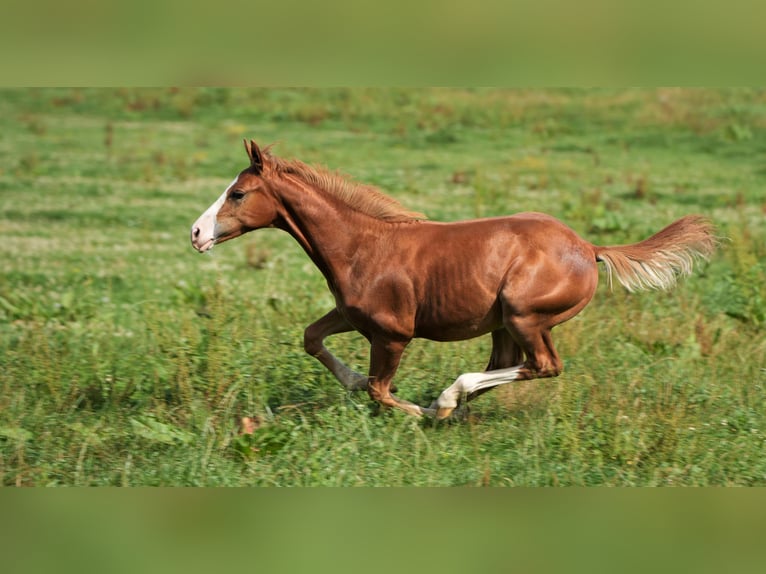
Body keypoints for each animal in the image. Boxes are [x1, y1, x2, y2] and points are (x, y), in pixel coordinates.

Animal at [192, 140, 720, 418]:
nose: (196, 233)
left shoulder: (392, 333)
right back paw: (457, 406)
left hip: (525, 315)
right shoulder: (352, 315)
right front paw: (357, 382)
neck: (361, 246)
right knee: (510, 364)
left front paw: (420, 415)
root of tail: (589, 248)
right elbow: (311, 338)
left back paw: (447, 401)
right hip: (505, 323)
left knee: (544, 365)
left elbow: (381, 391)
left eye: (237, 194)